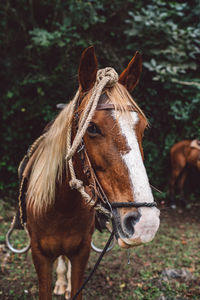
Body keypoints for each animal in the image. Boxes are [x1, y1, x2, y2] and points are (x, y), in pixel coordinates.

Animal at [20, 45, 159, 298]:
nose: (146, 223)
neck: (61, 208)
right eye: (92, 127)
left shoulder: (81, 252)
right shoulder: (39, 255)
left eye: (143, 128)